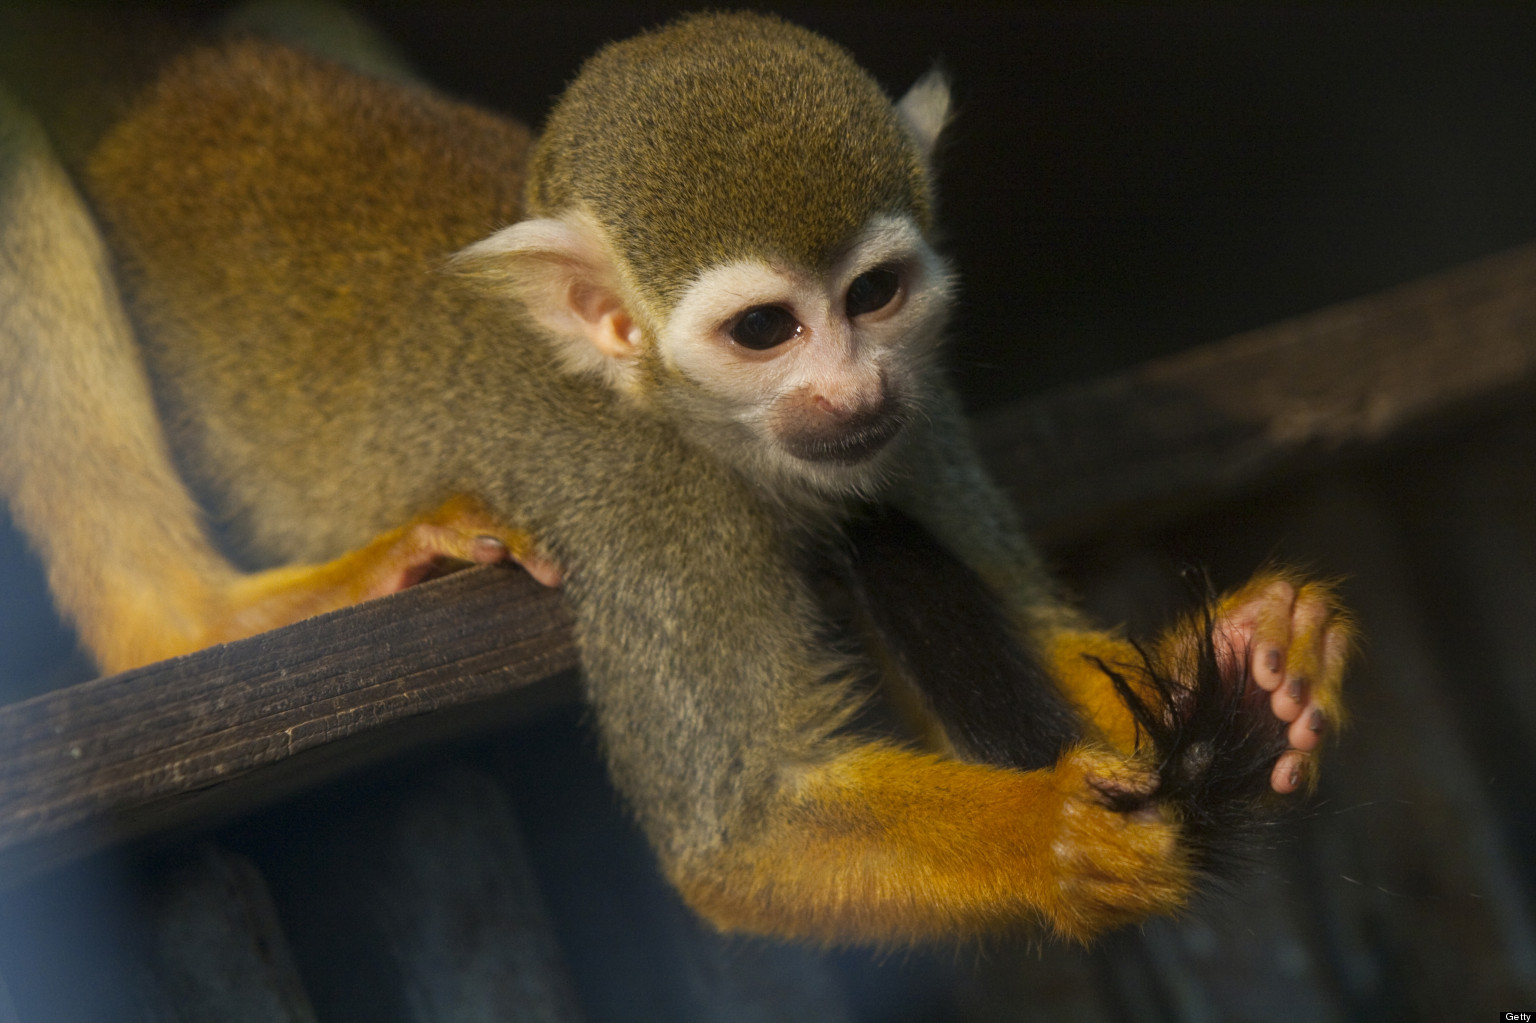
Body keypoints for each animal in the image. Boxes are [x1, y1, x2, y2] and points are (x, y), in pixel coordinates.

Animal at [0, 11, 1349, 944]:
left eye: (874, 296)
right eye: (765, 331)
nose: (853, 390)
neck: (698, 425)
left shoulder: (921, 420)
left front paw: (1262, 654)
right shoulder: (653, 510)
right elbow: (741, 838)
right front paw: (1060, 842)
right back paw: (193, 621)